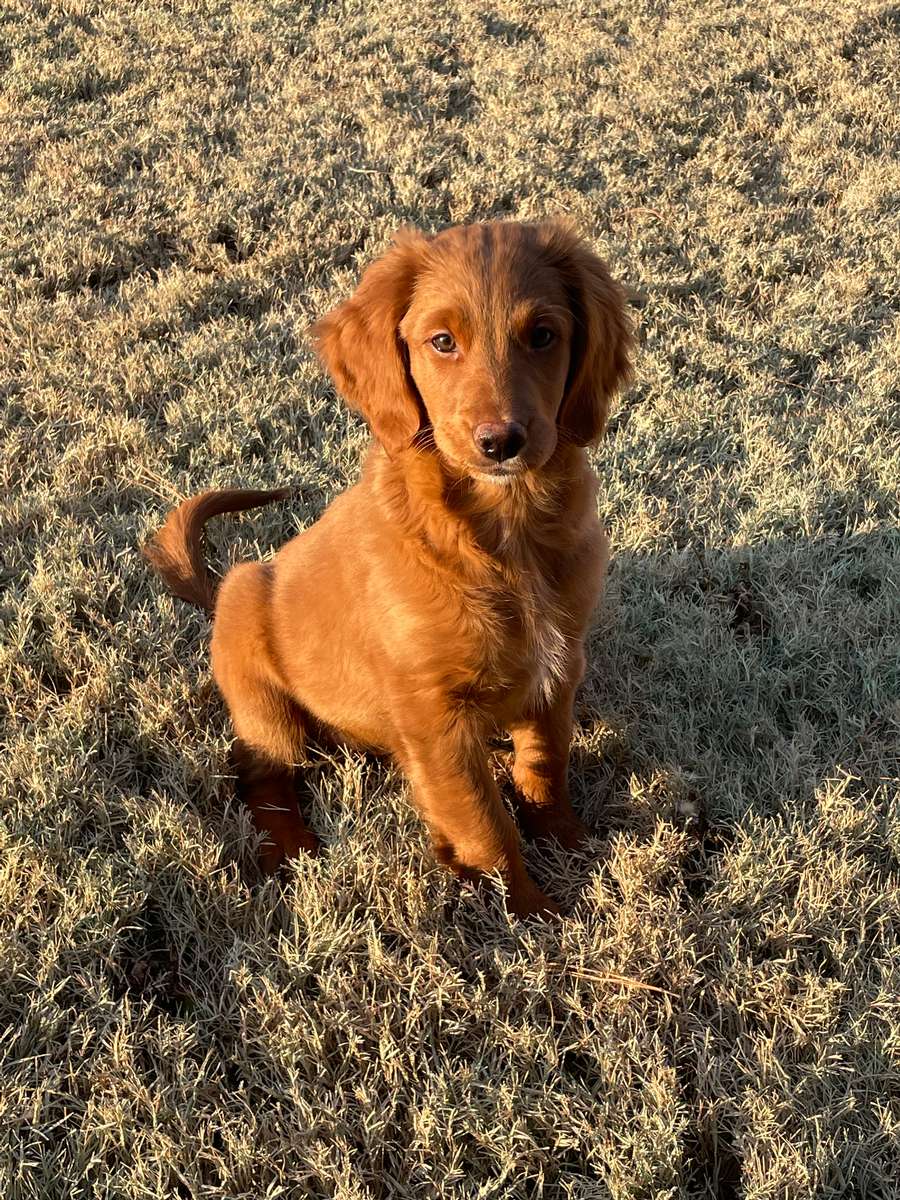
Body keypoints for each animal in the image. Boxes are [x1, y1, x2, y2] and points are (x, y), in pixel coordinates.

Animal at [146, 220, 633, 912]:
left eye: (543, 335)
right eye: (442, 342)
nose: (501, 443)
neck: (504, 532)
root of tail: (217, 592)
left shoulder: (557, 670)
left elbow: (544, 767)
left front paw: (569, 846)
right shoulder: (436, 719)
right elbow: (484, 822)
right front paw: (530, 914)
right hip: (264, 695)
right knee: (261, 773)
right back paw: (289, 850)